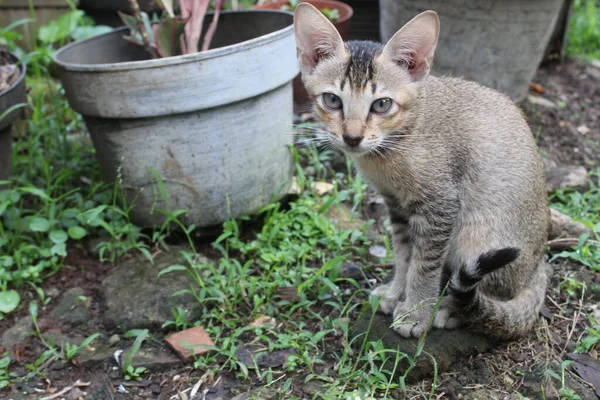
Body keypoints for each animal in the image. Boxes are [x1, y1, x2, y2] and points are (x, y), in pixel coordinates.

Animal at [292, 4, 552, 340]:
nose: (352, 137)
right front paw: (395, 294)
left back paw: (451, 309)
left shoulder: (440, 205)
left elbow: (424, 264)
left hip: (480, 238)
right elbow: (404, 255)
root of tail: (538, 268)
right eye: (332, 100)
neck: (395, 144)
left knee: (487, 294)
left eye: (382, 104)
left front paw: (416, 312)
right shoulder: (396, 205)